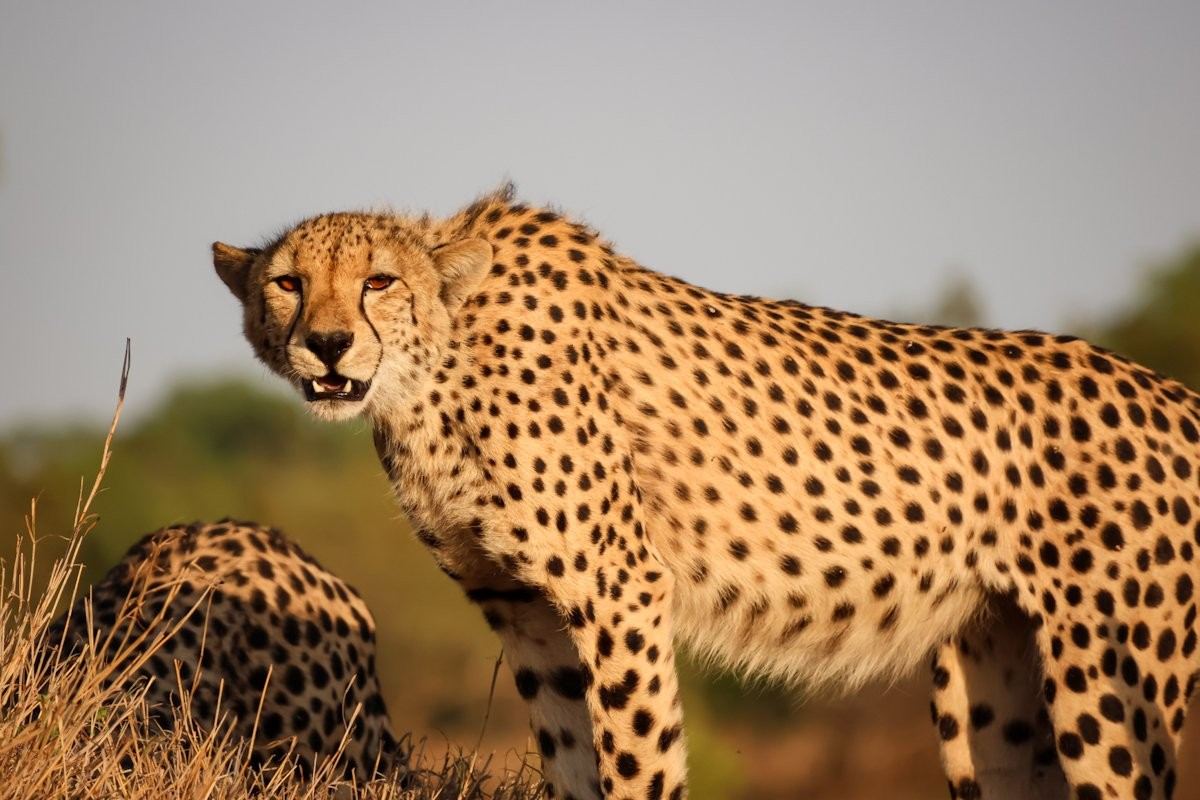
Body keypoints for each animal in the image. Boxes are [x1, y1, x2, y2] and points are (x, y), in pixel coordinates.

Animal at [212, 183, 1200, 799]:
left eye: (379, 280)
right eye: (287, 283)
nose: (329, 344)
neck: (434, 375)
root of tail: (1171, 391)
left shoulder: (619, 591)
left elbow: (637, 759)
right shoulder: (526, 610)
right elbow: (573, 756)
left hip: (1107, 683)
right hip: (990, 687)